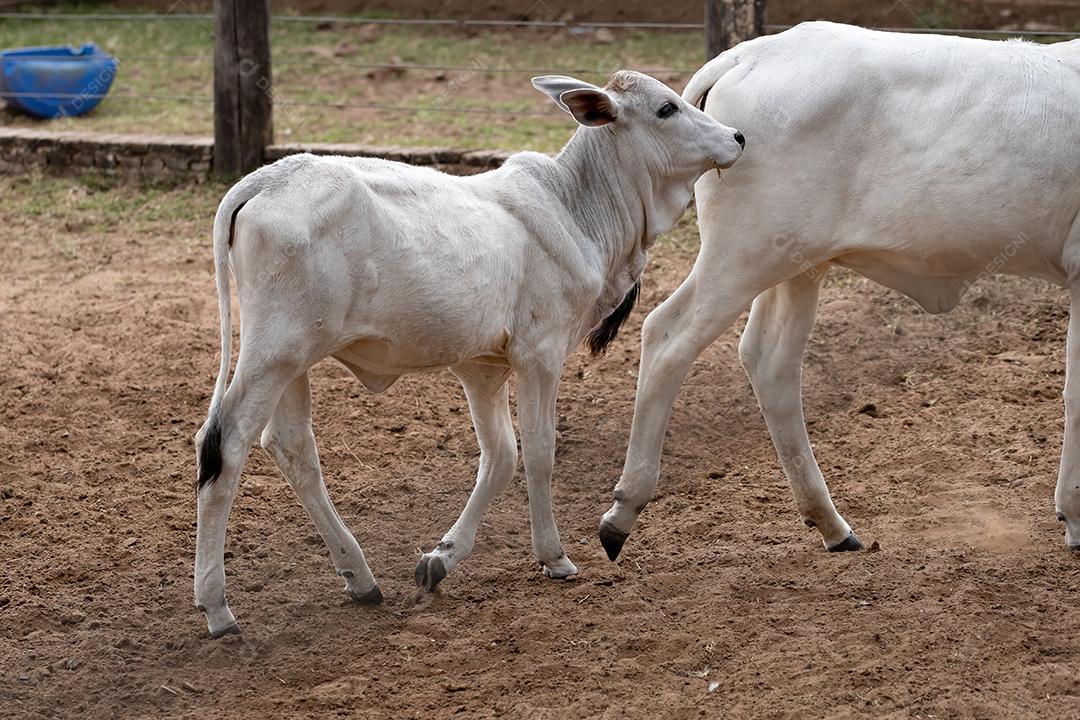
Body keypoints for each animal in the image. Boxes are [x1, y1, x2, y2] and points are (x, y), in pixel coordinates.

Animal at [194, 70, 743, 639]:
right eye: (666, 109)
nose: (737, 137)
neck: (575, 208)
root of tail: (268, 178)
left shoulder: (481, 369)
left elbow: (500, 457)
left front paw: (441, 558)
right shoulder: (540, 355)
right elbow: (539, 453)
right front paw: (554, 556)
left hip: (292, 363)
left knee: (291, 447)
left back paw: (360, 577)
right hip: (273, 354)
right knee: (225, 446)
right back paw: (217, 607)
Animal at [600, 22, 1080, 561]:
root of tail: (753, 52)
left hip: (797, 264)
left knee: (770, 361)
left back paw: (831, 523)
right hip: (741, 256)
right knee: (666, 337)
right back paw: (623, 511)